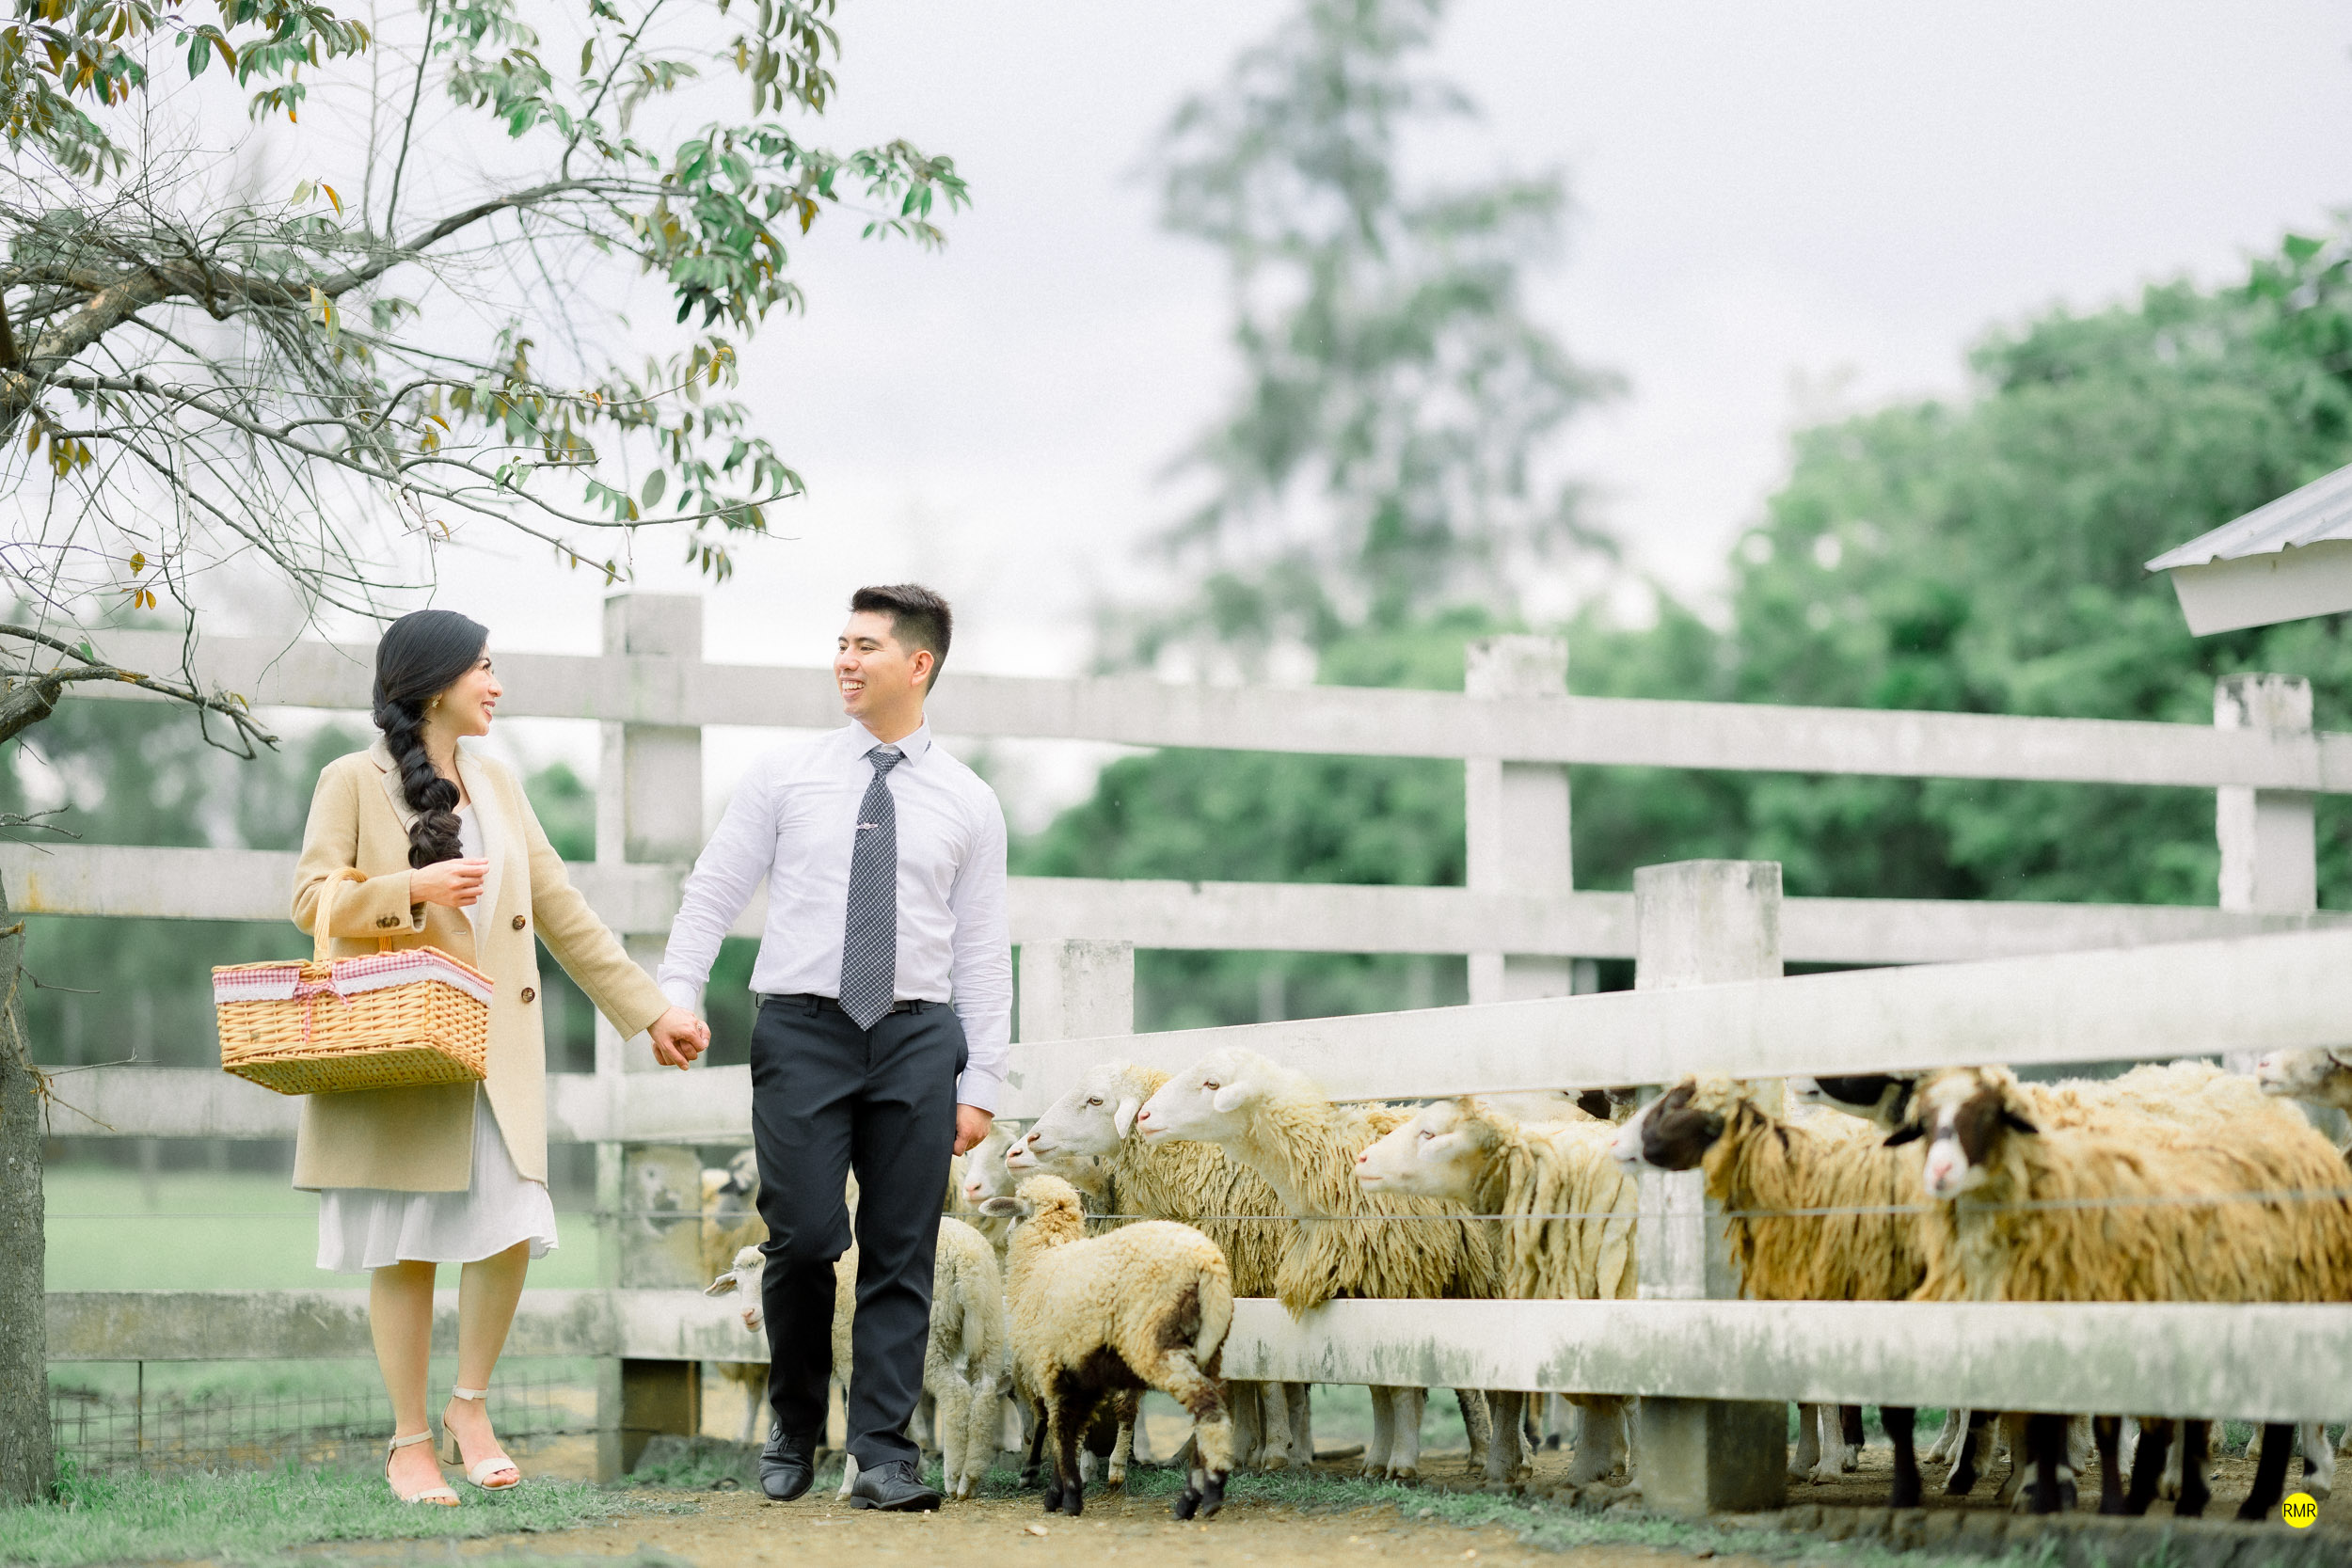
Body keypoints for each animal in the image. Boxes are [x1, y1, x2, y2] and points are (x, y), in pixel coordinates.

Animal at [977, 1173, 1236, 1520]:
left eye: (1018, 1212)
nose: (1006, 1232)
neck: (1041, 1260)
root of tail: (1207, 1263)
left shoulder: (1049, 1365)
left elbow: (1060, 1428)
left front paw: (1064, 1496)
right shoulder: (1082, 1372)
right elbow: (1074, 1430)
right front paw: (1066, 1489)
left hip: (1155, 1341)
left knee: (1205, 1406)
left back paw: (1199, 1499)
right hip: (1211, 1347)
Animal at [1017, 1059, 1316, 1473]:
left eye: (1096, 1100)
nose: (1031, 1139)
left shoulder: (1257, 1276)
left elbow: (1267, 1373)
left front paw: (1273, 1452)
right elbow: (1241, 1379)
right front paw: (1240, 1446)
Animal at [1135, 1046, 1500, 1482]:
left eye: (1212, 1083)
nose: (1143, 1117)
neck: (1331, 1165)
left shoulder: (1401, 1282)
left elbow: (1398, 1386)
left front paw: (1401, 1462)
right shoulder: (1358, 1287)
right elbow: (1377, 1387)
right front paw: (1377, 1460)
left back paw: (1504, 1460)